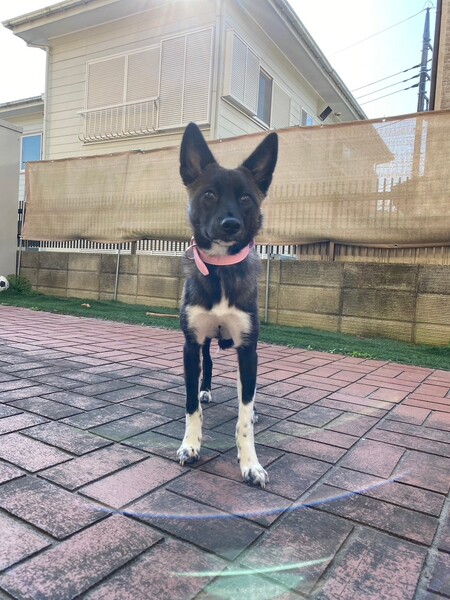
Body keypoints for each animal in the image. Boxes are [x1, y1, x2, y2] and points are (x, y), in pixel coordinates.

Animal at [177, 122, 278, 488]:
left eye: (246, 198)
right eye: (209, 195)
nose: (230, 225)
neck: (221, 268)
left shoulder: (248, 349)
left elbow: (244, 415)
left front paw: (251, 464)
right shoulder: (191, 343)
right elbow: (191, 405)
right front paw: (190, 445)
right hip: (204, 342)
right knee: (207, 363)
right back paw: (205, 391)